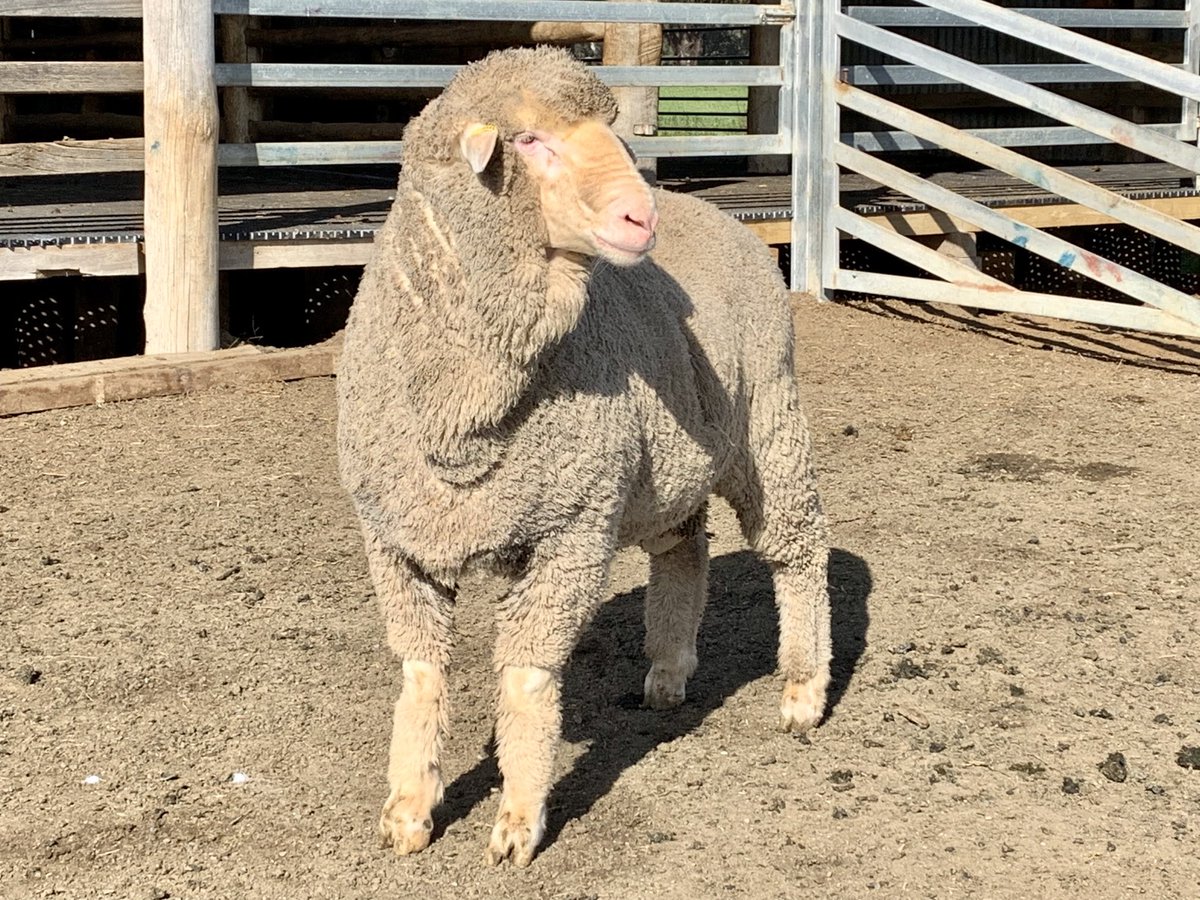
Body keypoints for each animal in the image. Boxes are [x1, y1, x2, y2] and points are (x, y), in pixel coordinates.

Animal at [336, 47, 830, 867]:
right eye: (531, 140)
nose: (641, 217)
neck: (463, 420)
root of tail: (723, 218)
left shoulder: (571, 529)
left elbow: (527, 679)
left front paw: (518, 820)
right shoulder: (399, 539)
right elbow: (421, 673)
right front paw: (409, 808)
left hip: (770, 420)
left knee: (800, 551)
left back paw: (802, 691)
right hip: (669, 463)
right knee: (684, 548)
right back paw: (668, 669)